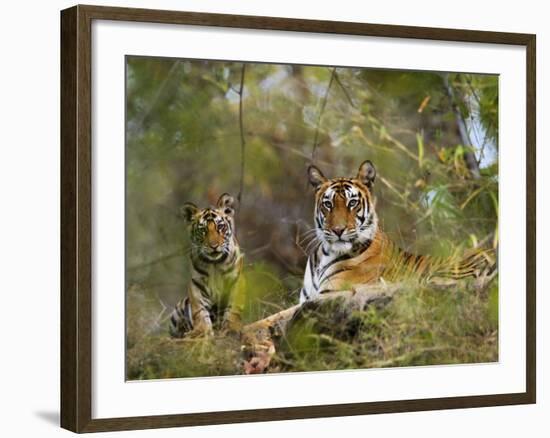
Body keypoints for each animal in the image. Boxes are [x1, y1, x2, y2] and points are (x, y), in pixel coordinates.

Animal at [168, 192, 246, 338]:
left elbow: (234, 308)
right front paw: (201, 331)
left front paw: (232, 328)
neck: (215, 263)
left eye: (220, 227)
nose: (213, 246)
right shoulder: (196, 284)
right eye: (203, 230)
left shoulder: (236, 280)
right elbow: (199, 310)